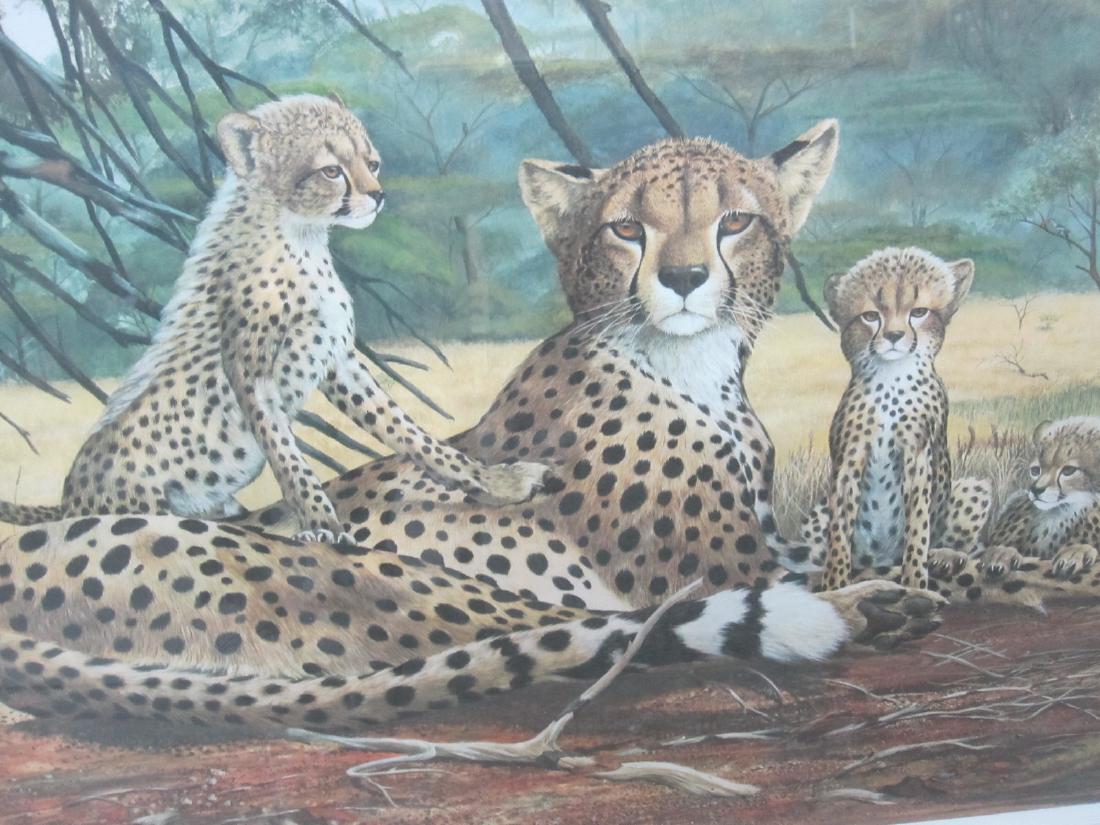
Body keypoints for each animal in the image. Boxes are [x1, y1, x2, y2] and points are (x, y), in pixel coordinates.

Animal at [0, 94, 546, 543]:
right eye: (331, 171)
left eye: (371, 162)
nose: (379, 195)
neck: (299, 237)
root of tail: (68, 499)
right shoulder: (252, 375)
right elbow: (286, 452)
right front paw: (320, 521)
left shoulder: (340, 360)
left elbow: (404, 429)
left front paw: (493, 481)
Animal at [800, 247, 992, 591]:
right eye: (870, 316)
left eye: (919, 312)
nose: (893, 335)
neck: (892, 379)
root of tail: (877, 561)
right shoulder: (850, 458)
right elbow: (840, 531)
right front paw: (835, 584)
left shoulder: (917, 456)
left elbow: (918, 525)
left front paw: (915, 582)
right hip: (815, 515)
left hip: (974, 488)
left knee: (966, 544)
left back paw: (944, 556)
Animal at [979, 417, 1100, 581]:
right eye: (1036, 470)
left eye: (1069, 470)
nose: (1036, 490)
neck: (1060, 514)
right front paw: (1001, 553)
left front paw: (1076, 551)